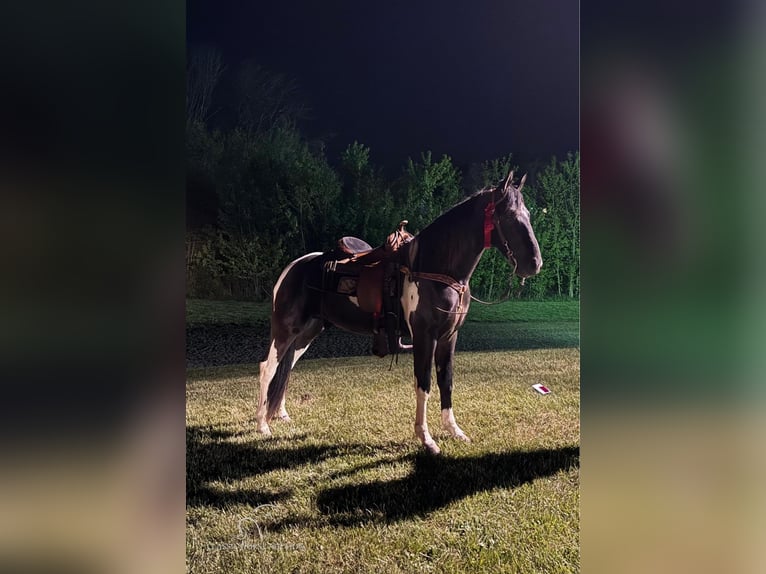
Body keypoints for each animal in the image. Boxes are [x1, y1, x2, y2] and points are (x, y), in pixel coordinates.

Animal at [255, 171, 544, 454]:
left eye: (529, 214)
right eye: (509, 215)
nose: (534, 264)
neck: (434, 268)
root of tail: (293, 267)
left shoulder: (449, 338)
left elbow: (446, 382)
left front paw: (455, 431)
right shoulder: (425, 337)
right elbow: (424, 384)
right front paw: (427, 440)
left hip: (309, 331)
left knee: (287, 365)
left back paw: (280, 415)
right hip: (285, 328)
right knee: (268, 367)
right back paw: (262, 426)